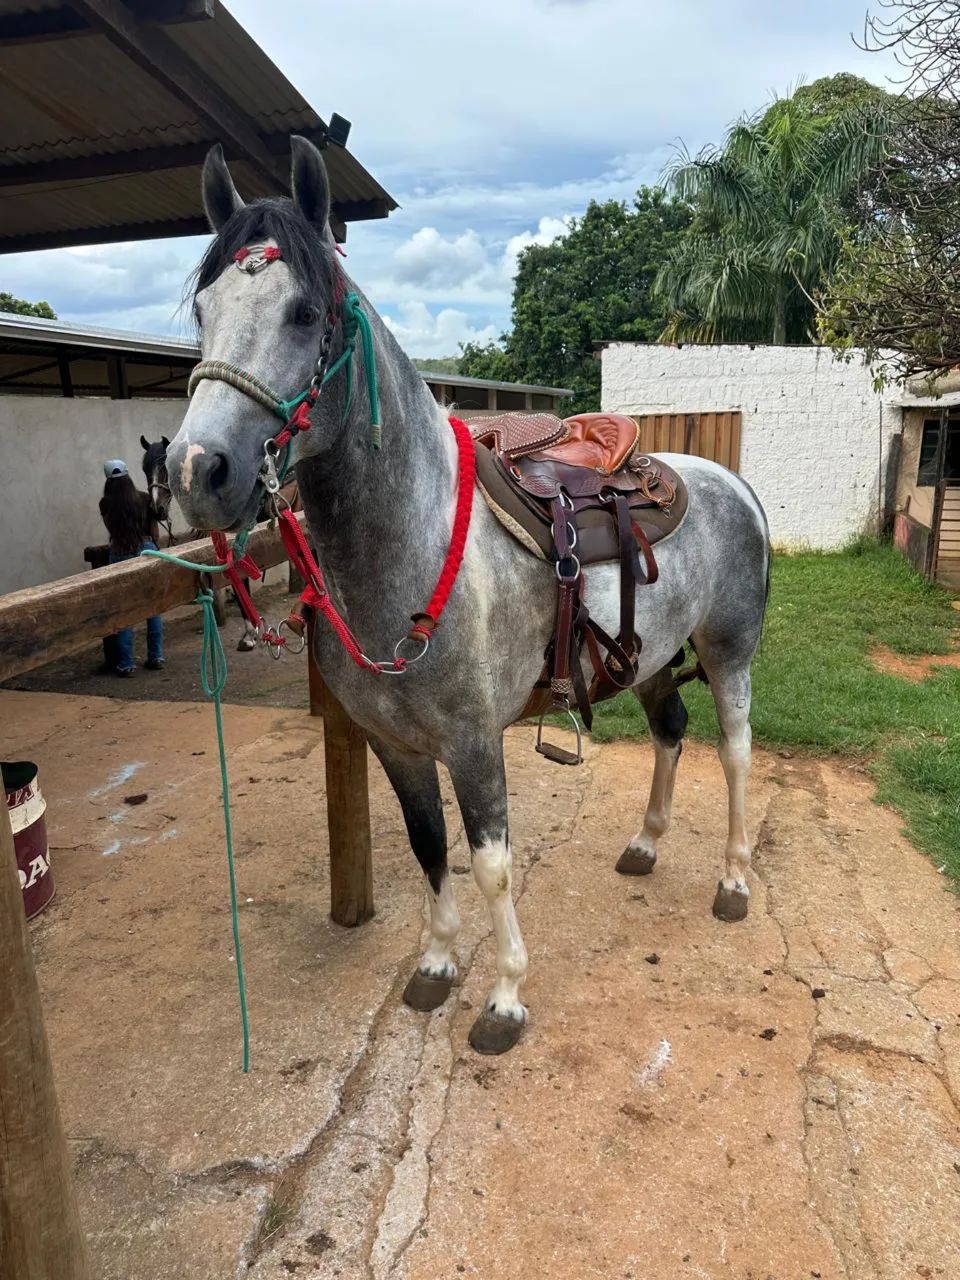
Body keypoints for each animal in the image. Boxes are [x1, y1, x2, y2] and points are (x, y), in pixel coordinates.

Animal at [165, 137, 771, 1056]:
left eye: (304, 313)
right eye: (202, 310)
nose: (198, 471)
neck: (408, 549)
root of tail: (729, 482)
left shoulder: (475, 742)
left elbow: (490, 864)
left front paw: (506, 997)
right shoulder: (397, 747)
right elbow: (428, 847)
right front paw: (438, 963)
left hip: (728, 651)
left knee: (735, 751)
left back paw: (733, 881)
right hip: (649, 659)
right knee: (671, 729)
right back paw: (644, 843)